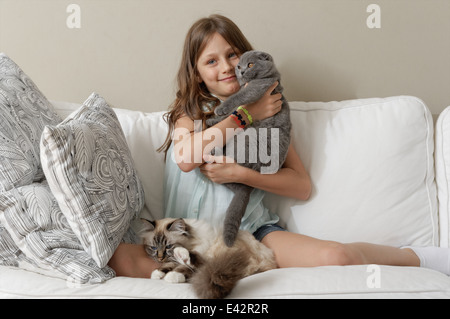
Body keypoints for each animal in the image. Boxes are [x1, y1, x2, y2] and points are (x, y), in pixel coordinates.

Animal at [205, 50, 290, 248]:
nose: (242, 71)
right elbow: (232, 112)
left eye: (250, 65)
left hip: (246, 139)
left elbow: (237, 98)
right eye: (238, 65)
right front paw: (214, 119)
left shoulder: (259, 87)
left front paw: (219, 110)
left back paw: (213, 151)